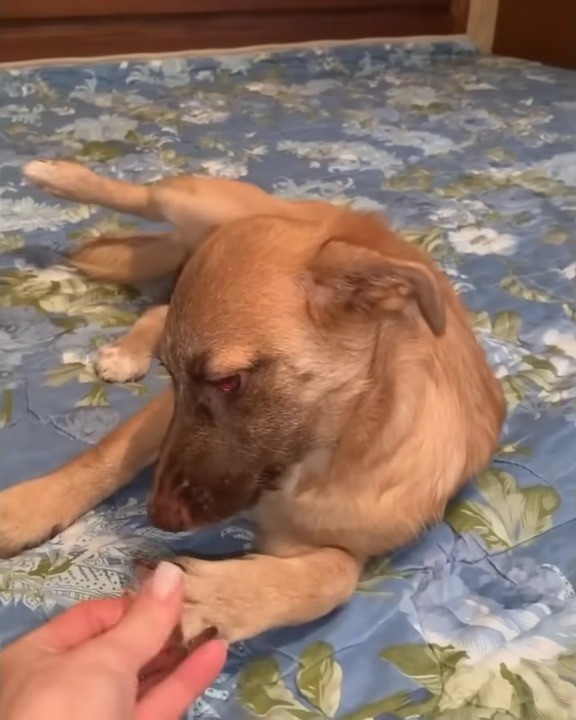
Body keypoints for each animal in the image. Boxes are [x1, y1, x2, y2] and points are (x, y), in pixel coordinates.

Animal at [0, 160, 504, 644]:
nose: (156, 516)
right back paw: (55, 175)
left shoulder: (337, 546)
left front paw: (214, 598)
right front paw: (29, 508)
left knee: (158, 307)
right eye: (175, 378)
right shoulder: (166, 412)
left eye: (227, 382)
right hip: (199, 203)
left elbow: (333, 581)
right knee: (143, 196)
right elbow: (110, 455)